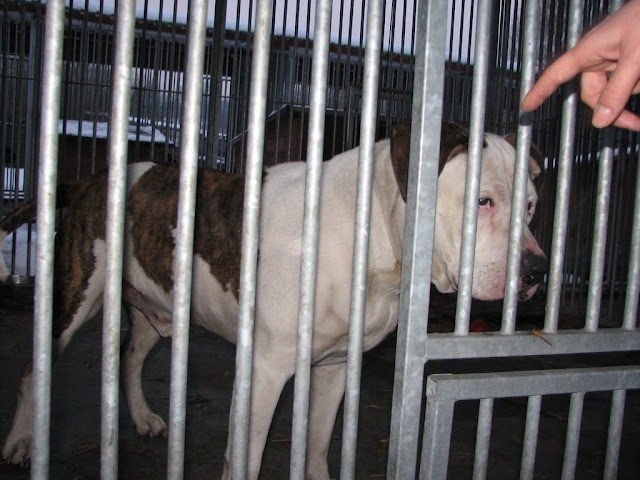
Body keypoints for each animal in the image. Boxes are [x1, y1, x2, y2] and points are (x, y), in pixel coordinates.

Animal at [1, 122, 547, 479]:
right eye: (482, 202)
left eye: (531, 207)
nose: (537, 269)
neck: (370, 236)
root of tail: (88, 180)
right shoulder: (264, 369)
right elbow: (247, 457)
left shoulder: (333, 368)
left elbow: (317, 446)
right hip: (75, 296)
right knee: (31, 369)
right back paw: (22, 441)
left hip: (157, 309)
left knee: (130, 357)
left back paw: (140, 418)